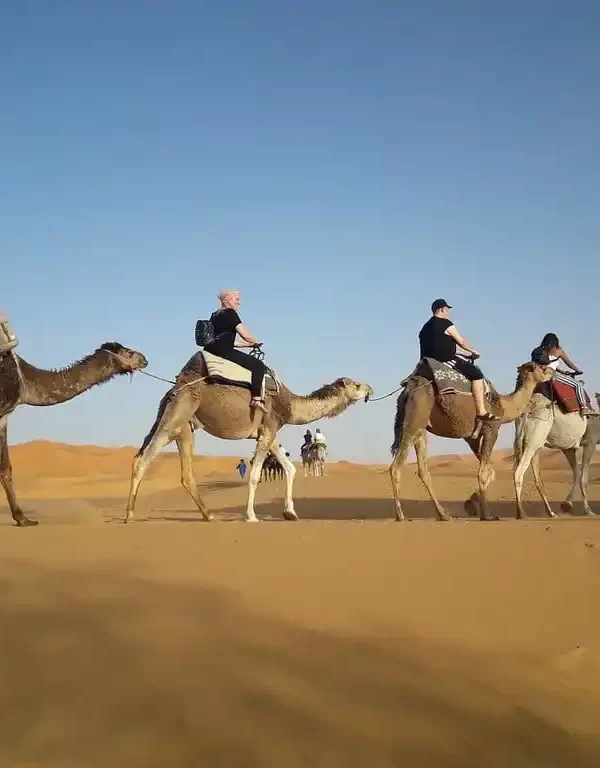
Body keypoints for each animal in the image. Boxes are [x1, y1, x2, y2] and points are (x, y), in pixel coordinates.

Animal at [0, 344, 148, 528]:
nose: (144, 359)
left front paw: (21, 518)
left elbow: (5, 467)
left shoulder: (4, 416)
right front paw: (22, 518)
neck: (24, 380)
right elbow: (5, 466)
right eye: (128, 351)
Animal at [125, 352, 372, 520]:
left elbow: (289, 469)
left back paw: (208, 515)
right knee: (144, 458)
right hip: (178, 414)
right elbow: (254, 475)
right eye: (357, 385)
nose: (371, 389)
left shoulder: (267, 431)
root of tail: (173, 390)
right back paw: (130, 514)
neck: (288, 404)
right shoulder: (269, 427)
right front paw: (251, 515)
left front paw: (290, 512)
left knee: (180, 470)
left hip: (183, 425)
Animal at [390, 362, 552, 520]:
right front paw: (486, 514)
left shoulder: (471, 438)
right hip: (414, 421)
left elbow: (490, 471)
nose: (552, 372)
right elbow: (483, 472)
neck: (503, 406)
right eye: (542, 367)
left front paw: (472, 505)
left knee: (423, 470)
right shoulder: (491, 429)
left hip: (421, 430)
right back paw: (400, 515)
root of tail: (409, 388)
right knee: (395, 467)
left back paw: (443, 515)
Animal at [510, 388, 600, 520]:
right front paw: (588, 511)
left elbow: (577, 473)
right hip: (533, 440)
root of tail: (527, 410)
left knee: (538, 479)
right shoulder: (591, 441)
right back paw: (521, 514)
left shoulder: (568, 448)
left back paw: (551, 513)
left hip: (525, 442)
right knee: (518, 472)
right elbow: (583, 478)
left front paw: (567, 505)